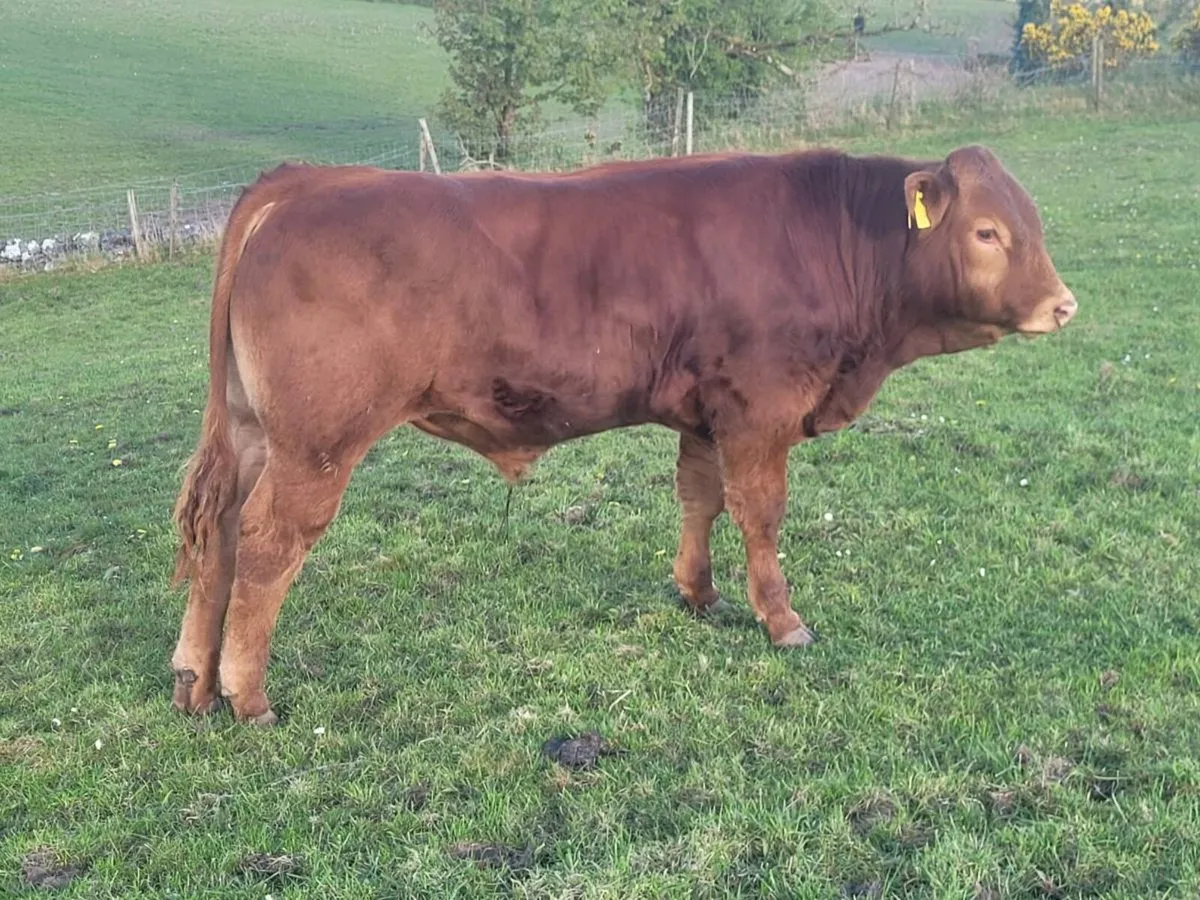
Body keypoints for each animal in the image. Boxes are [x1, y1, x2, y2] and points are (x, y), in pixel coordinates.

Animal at [169, 144, 1077, 725]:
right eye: (987, 232)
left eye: (1033, 224)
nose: (1062, 305)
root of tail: (302, 183)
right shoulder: (760, 410)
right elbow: (760, 515)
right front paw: (782, 621)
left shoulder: (709, 413)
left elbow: (700, 499)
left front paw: (698, 593)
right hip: (315, 446)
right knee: (266, 545)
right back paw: (248, 695)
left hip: (251, 434)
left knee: (219, 535)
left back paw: (195, 681)